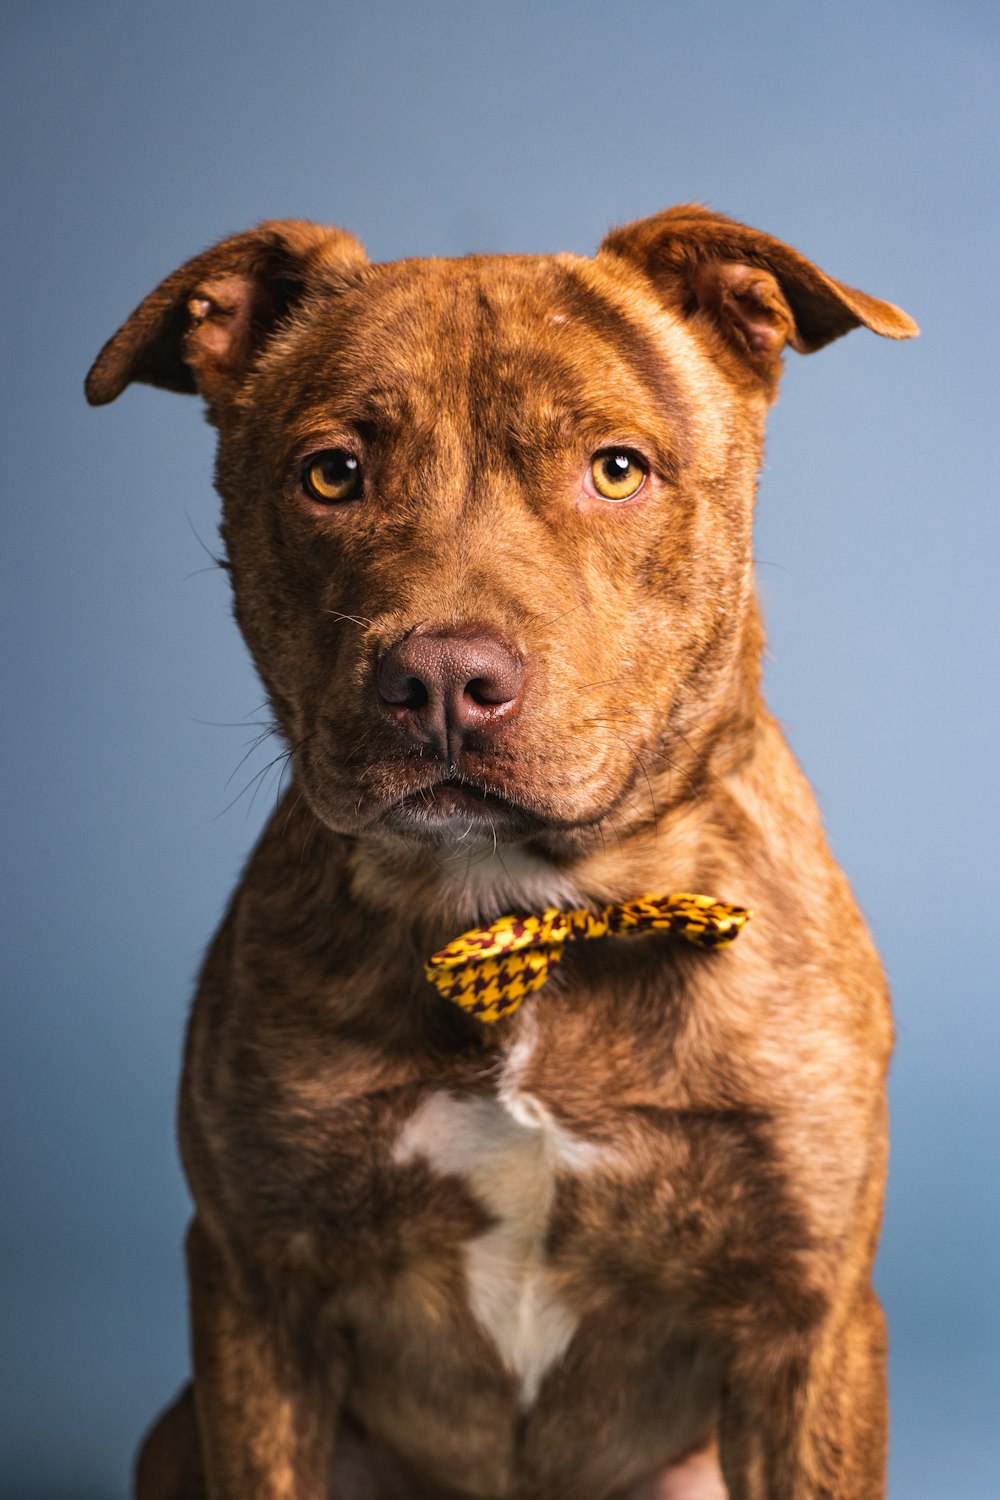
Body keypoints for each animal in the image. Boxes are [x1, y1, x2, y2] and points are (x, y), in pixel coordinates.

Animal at [89, 202, 917, 1500]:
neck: (526, 905)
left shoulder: (805, 1322)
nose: (439, 681)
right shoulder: (257, 1293)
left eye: (616, 468)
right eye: (332, 473)